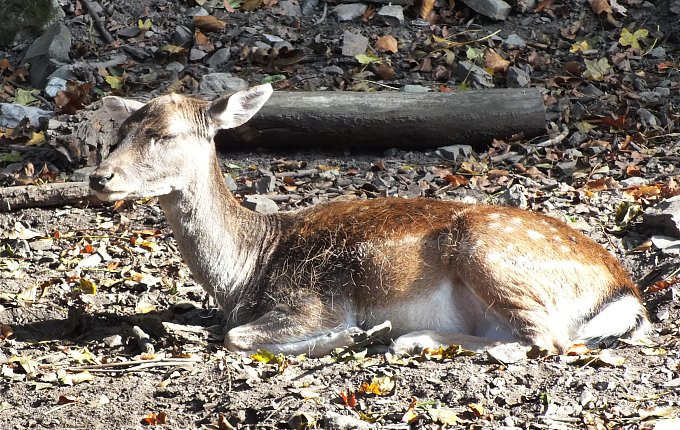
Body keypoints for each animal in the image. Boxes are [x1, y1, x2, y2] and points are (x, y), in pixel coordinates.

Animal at [87, 83, 652, 356]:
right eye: (121, 130)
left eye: (165, 134)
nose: (100, 177)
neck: (247, 273)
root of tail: (624, 289)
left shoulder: (315, 299)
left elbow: (236, 337)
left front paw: (341, 339)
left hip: (491, 253)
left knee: (546, 340)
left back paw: (395, 337)